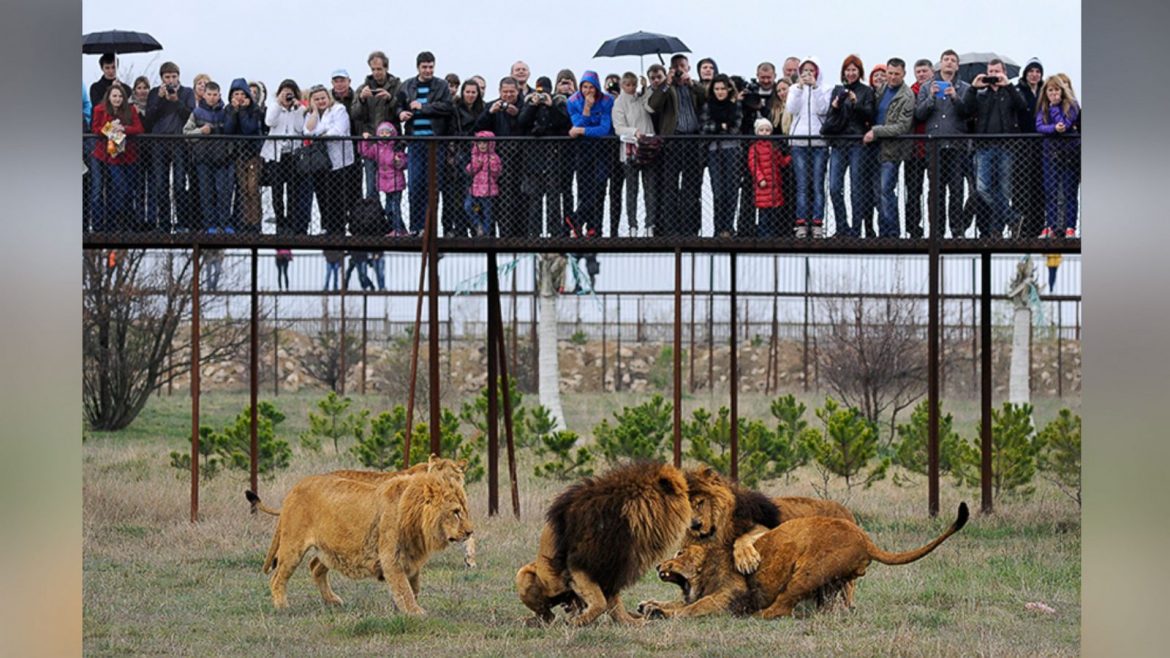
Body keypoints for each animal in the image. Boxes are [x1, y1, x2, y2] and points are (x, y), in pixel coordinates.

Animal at [245, 454, 470, 613]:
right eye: (455, 512)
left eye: (464, 510)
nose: (470, 531)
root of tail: (294, 488)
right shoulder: (391, 557)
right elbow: (404, 589)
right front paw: (416, 613)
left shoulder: (411, 558)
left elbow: (412, 587)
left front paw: (403, 609)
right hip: (293, 547)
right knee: (277, 578)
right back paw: (282, 607)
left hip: (330, 549)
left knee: (315, 566)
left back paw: (332, 601)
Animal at [514, 461, 692, 622]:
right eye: (686, 495)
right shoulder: (579, 563)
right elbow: (601, 603)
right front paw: (577, 622)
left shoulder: (613, 569)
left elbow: (613, 605)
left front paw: (635, 622)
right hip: (524, 574)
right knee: (547, 615)